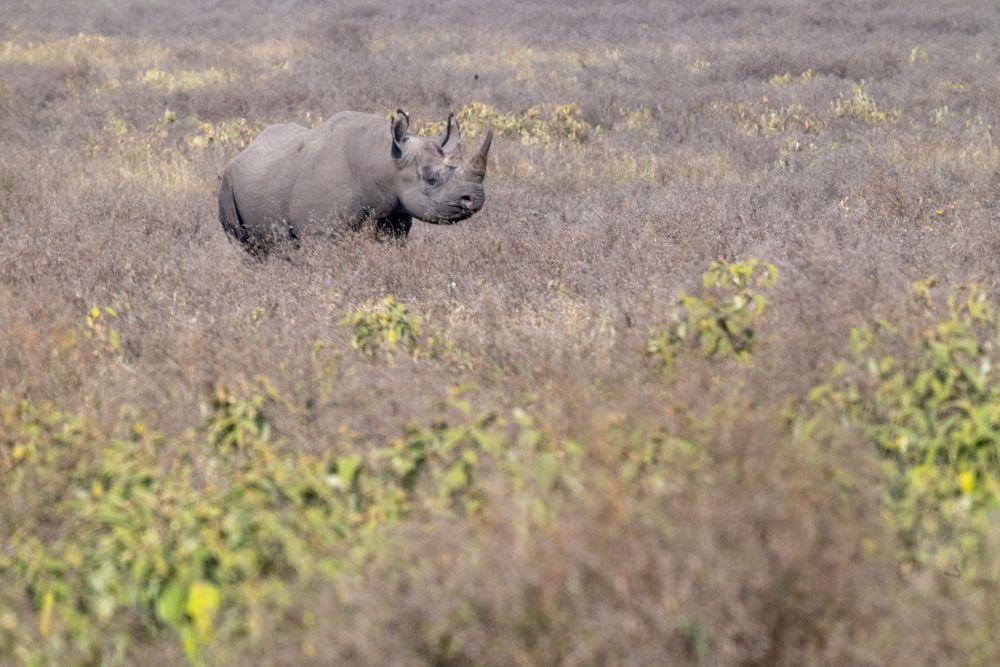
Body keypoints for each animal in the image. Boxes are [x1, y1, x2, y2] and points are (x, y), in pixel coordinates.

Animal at [218, 109, 492, 255]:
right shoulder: (319, 232)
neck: (384, 160)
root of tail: (243, 150)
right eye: (431, 179)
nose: (476, 198)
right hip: (226, 182)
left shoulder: (393, 219)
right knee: (246, 248)